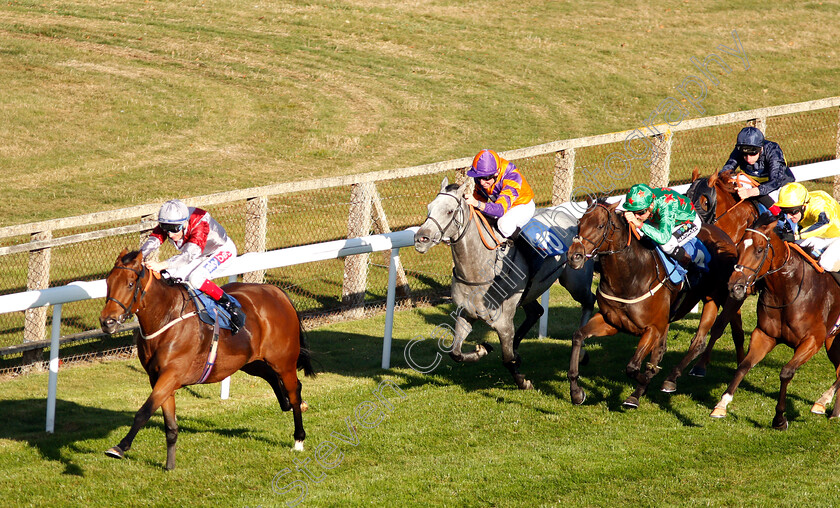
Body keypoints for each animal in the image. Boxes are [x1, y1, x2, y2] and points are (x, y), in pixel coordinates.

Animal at [99, 248, 316, 470]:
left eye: (130, 284)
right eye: (108, 282)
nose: (107, 321)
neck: (166, 317)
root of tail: (276, 291)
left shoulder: (172, 374)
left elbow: (144, 411)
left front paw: (120, 447)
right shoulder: (158, 377)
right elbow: (169, 423)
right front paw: (170, 465)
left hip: (284, 361)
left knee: (294, 390)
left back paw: (299, 438)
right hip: (250, 362)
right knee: (276, 381)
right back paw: (292, 405)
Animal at [414, 178, 596, 388]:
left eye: (449, 211)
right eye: (429, 208)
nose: (420, 238)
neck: (479, 270)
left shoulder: (504, 322)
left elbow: (507, 358)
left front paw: (522, 381)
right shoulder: (465, 314)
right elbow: (455, 353)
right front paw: (482, 350)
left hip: (576, 282)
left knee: (589, 301)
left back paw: (582, 351)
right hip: (530, 292)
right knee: (536, 311)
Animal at [564, 200, 740, 406]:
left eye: (600, 226)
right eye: (579, 223)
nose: (574, 256)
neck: (630, 275)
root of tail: (724, 236)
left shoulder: (652, 328)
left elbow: (633, 367)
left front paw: (640, 388)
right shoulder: (612, 322)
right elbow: (578, 336)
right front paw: (576, 391)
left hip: (715, 297)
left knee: (699, 341)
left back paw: (672, 378)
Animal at [712, 214, 840, 428]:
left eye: (759, 250)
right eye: (738, 248)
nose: (735, 287)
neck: (787, 290)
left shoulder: (813, 340)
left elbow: (786, 372)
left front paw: (779, 418)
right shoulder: (764, 335)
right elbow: (743, 366)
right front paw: (721, 405)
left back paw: (824, 401)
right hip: (833, 341)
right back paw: (832, 409)